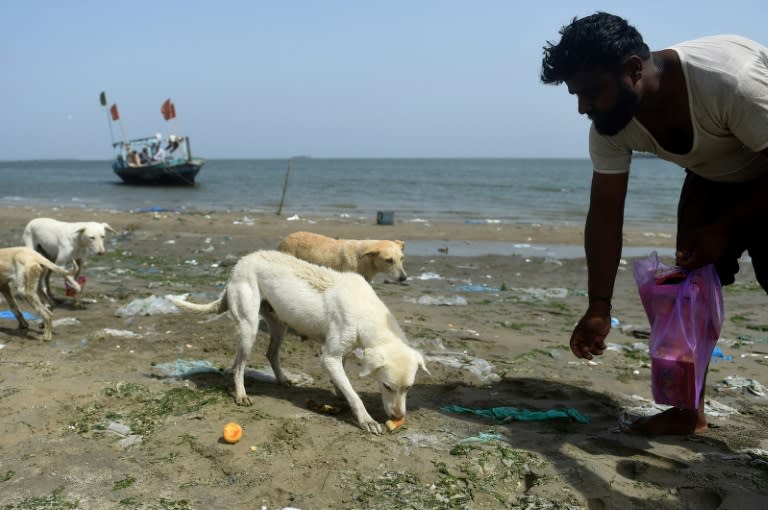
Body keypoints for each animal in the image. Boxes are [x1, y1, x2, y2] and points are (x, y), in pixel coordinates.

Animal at [169, 249, 428, 432]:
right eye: (387, 386)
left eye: (409, 388)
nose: (397, 417)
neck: (366, 311)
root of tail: (238, 265)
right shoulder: (329, 357)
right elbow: (354, 395)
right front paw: (366, 419)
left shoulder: (341, 352)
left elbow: (344, 382)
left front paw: (339, 392)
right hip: (248, 327)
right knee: (238, 366)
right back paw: (241, 394)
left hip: (278, 324)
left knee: (270, 354)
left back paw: (283, 379)